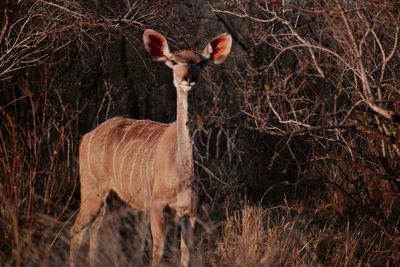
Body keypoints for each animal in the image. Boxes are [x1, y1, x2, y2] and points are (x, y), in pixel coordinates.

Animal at [69, 29, 231, 267]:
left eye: (201, 62)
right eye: (173, 61)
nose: (187, 79)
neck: (182, 169)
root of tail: (86, 137)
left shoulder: (189, 210)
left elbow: (187, 252)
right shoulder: (157, 204)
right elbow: (158, 250)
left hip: (113, 198)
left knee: (96, 232)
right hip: (92, 189)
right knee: (77, 231)